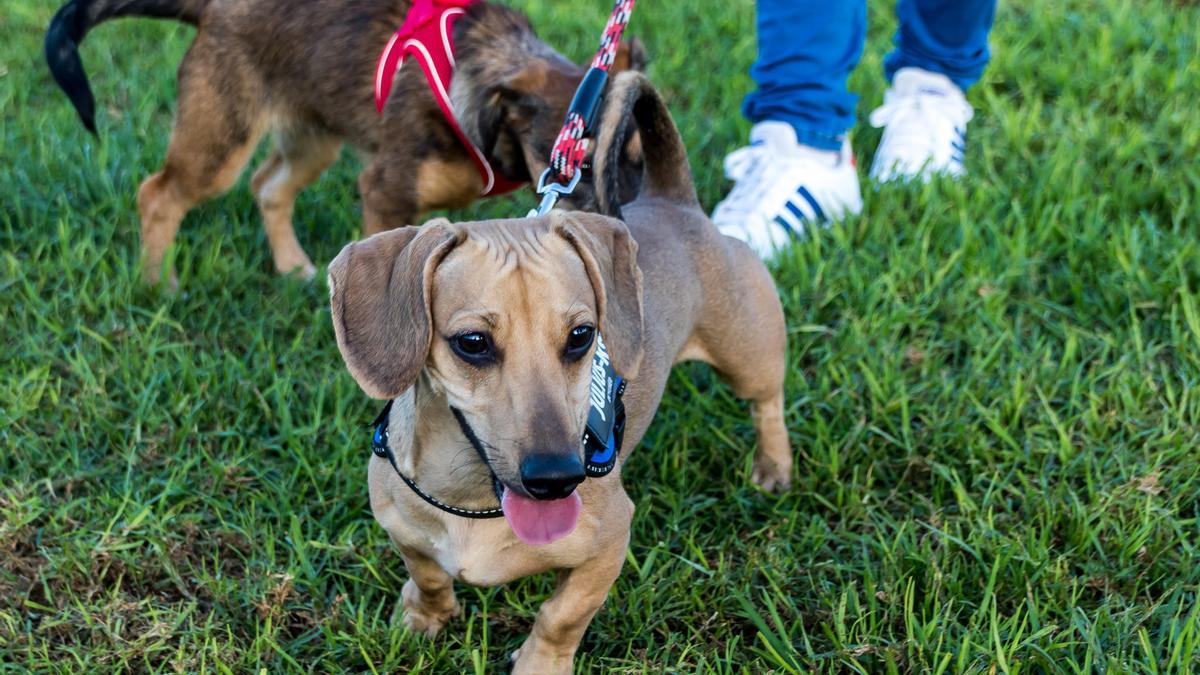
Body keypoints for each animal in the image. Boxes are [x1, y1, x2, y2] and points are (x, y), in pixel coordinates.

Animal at [44, 0, 648, 282]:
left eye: (640, 162)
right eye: (573, 167)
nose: (632, 247)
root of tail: (216, 9)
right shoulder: (385, 190)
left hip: (313, 138)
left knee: (268, 186)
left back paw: (293, 268)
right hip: (221, 139)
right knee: (159, 194)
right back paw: (157, 284)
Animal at [328, 70, 792, 667]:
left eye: (581, 336)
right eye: (472, 343)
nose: (558, 478)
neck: (471, 502)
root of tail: (676, 202)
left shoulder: (609, 543)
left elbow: (560, 616)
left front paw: (538, 664)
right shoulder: (403, 532)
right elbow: (428, 575)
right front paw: (423, 618)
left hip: (749, 357)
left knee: (768, 404)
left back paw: (774, 465)